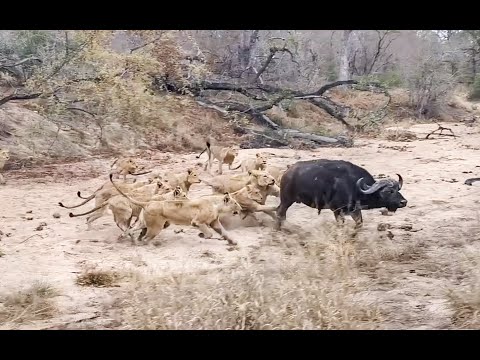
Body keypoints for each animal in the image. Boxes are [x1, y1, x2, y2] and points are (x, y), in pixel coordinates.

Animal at [110, 174, 242, 246]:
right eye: (235, 203)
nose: (240, 208)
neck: (216, 205)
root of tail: (148, 202)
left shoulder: (215, 222)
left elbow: (225, 232)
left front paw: (233, 242)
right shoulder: (197, 222)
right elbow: (208, 234)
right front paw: (201, 235)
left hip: (143, 223)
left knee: (130, 230)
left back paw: (126, 240)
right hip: (156, 227)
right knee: (146, 238)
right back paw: (149, 245)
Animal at [276, 159, 406, 229]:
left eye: (398, 190)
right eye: (388, 191)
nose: (403, 202)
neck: (354, 186)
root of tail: (287, 172)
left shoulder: (355, 211)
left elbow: (359, 224)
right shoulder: (337, 210)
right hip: (287, 200)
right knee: (280, 212)